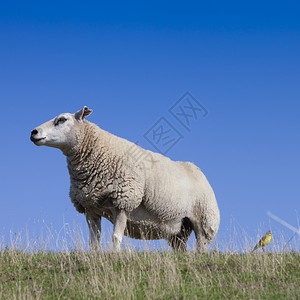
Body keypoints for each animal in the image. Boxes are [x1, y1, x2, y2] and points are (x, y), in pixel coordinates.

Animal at [30, 106, 219, 252]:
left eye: (62, 119)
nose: (33, 132)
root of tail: (196, 169)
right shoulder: (90, 207)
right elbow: (94, 241)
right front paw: (95, 256)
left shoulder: (123, 201)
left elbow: (116, 237)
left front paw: (115, 255)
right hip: (179, 229)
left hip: (204, 220)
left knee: (202, 246)